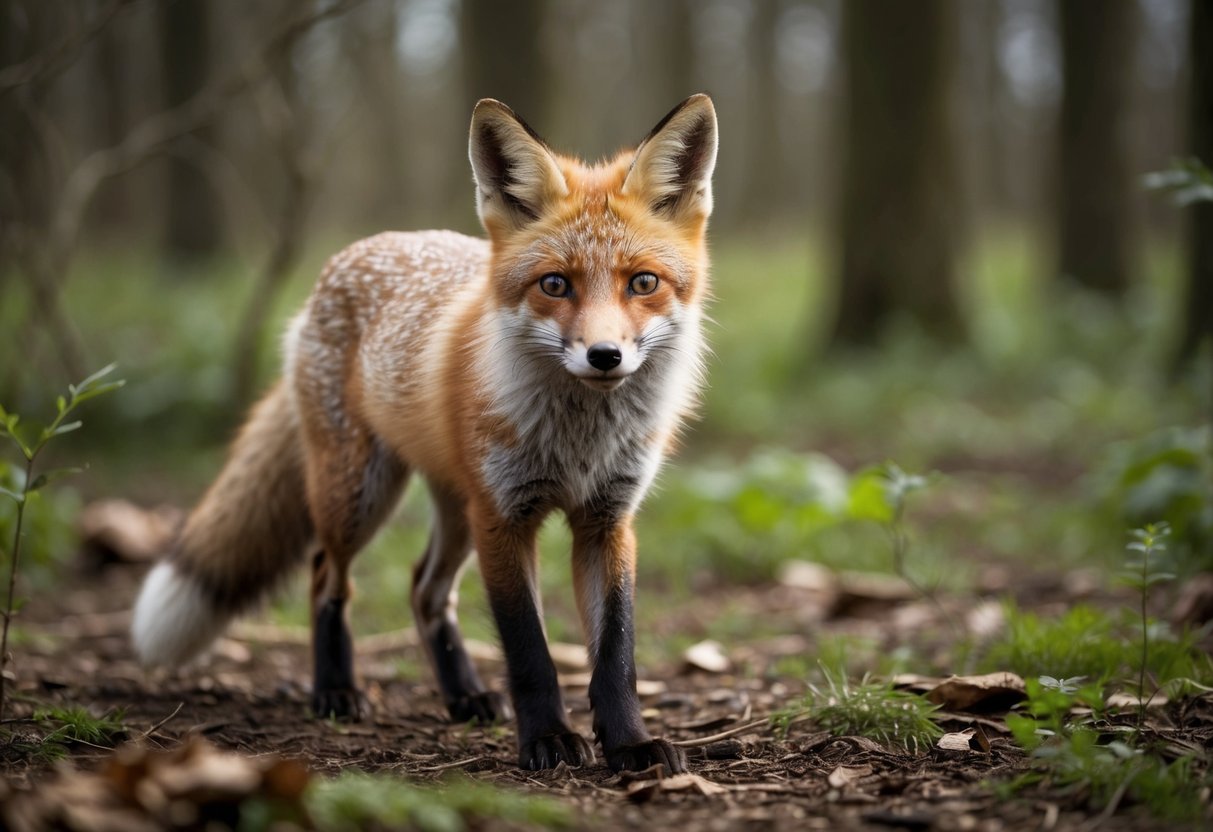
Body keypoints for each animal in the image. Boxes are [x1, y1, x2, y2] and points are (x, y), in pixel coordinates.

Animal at [131, 94, 718, 773]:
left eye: (642, 282)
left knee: (423, 589)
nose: (604, 357)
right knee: (325, 575)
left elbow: (616, 653)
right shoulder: (504, 517)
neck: (579, 442)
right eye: (555, 284)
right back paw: (336, 690)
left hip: (455, 510)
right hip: (360, 495)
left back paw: (463, 694)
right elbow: (529, 650)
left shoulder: (607, 520)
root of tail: (346, 260)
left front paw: (629, 745)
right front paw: (546, 738)